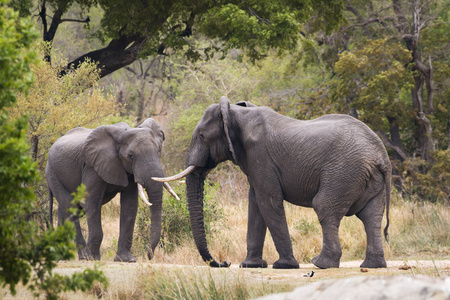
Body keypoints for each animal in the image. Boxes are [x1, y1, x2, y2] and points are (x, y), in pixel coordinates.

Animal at [46, 118, 178, 262]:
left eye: (159, 150)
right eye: (130, 156)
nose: (149, 256)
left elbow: (130, 205)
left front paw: (126, 260)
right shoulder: (92, 167)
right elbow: (91, 201)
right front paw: (94, 258)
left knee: (64, 209)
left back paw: (63, 255)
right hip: (53, 173)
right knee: (71, 207)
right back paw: (84, 257)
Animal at [154, 98, 390, 270]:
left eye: (202, 136)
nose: (224, 262)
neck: (237, 114)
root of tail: (381, 155)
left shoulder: (260, 155)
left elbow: (268, 201)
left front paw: (284, 266)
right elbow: (255, 205)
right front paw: (250, 266)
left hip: (344, 171)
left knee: (324, 206)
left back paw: (321, 264)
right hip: (366, 177)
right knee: (371, 216)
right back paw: (374, 265)